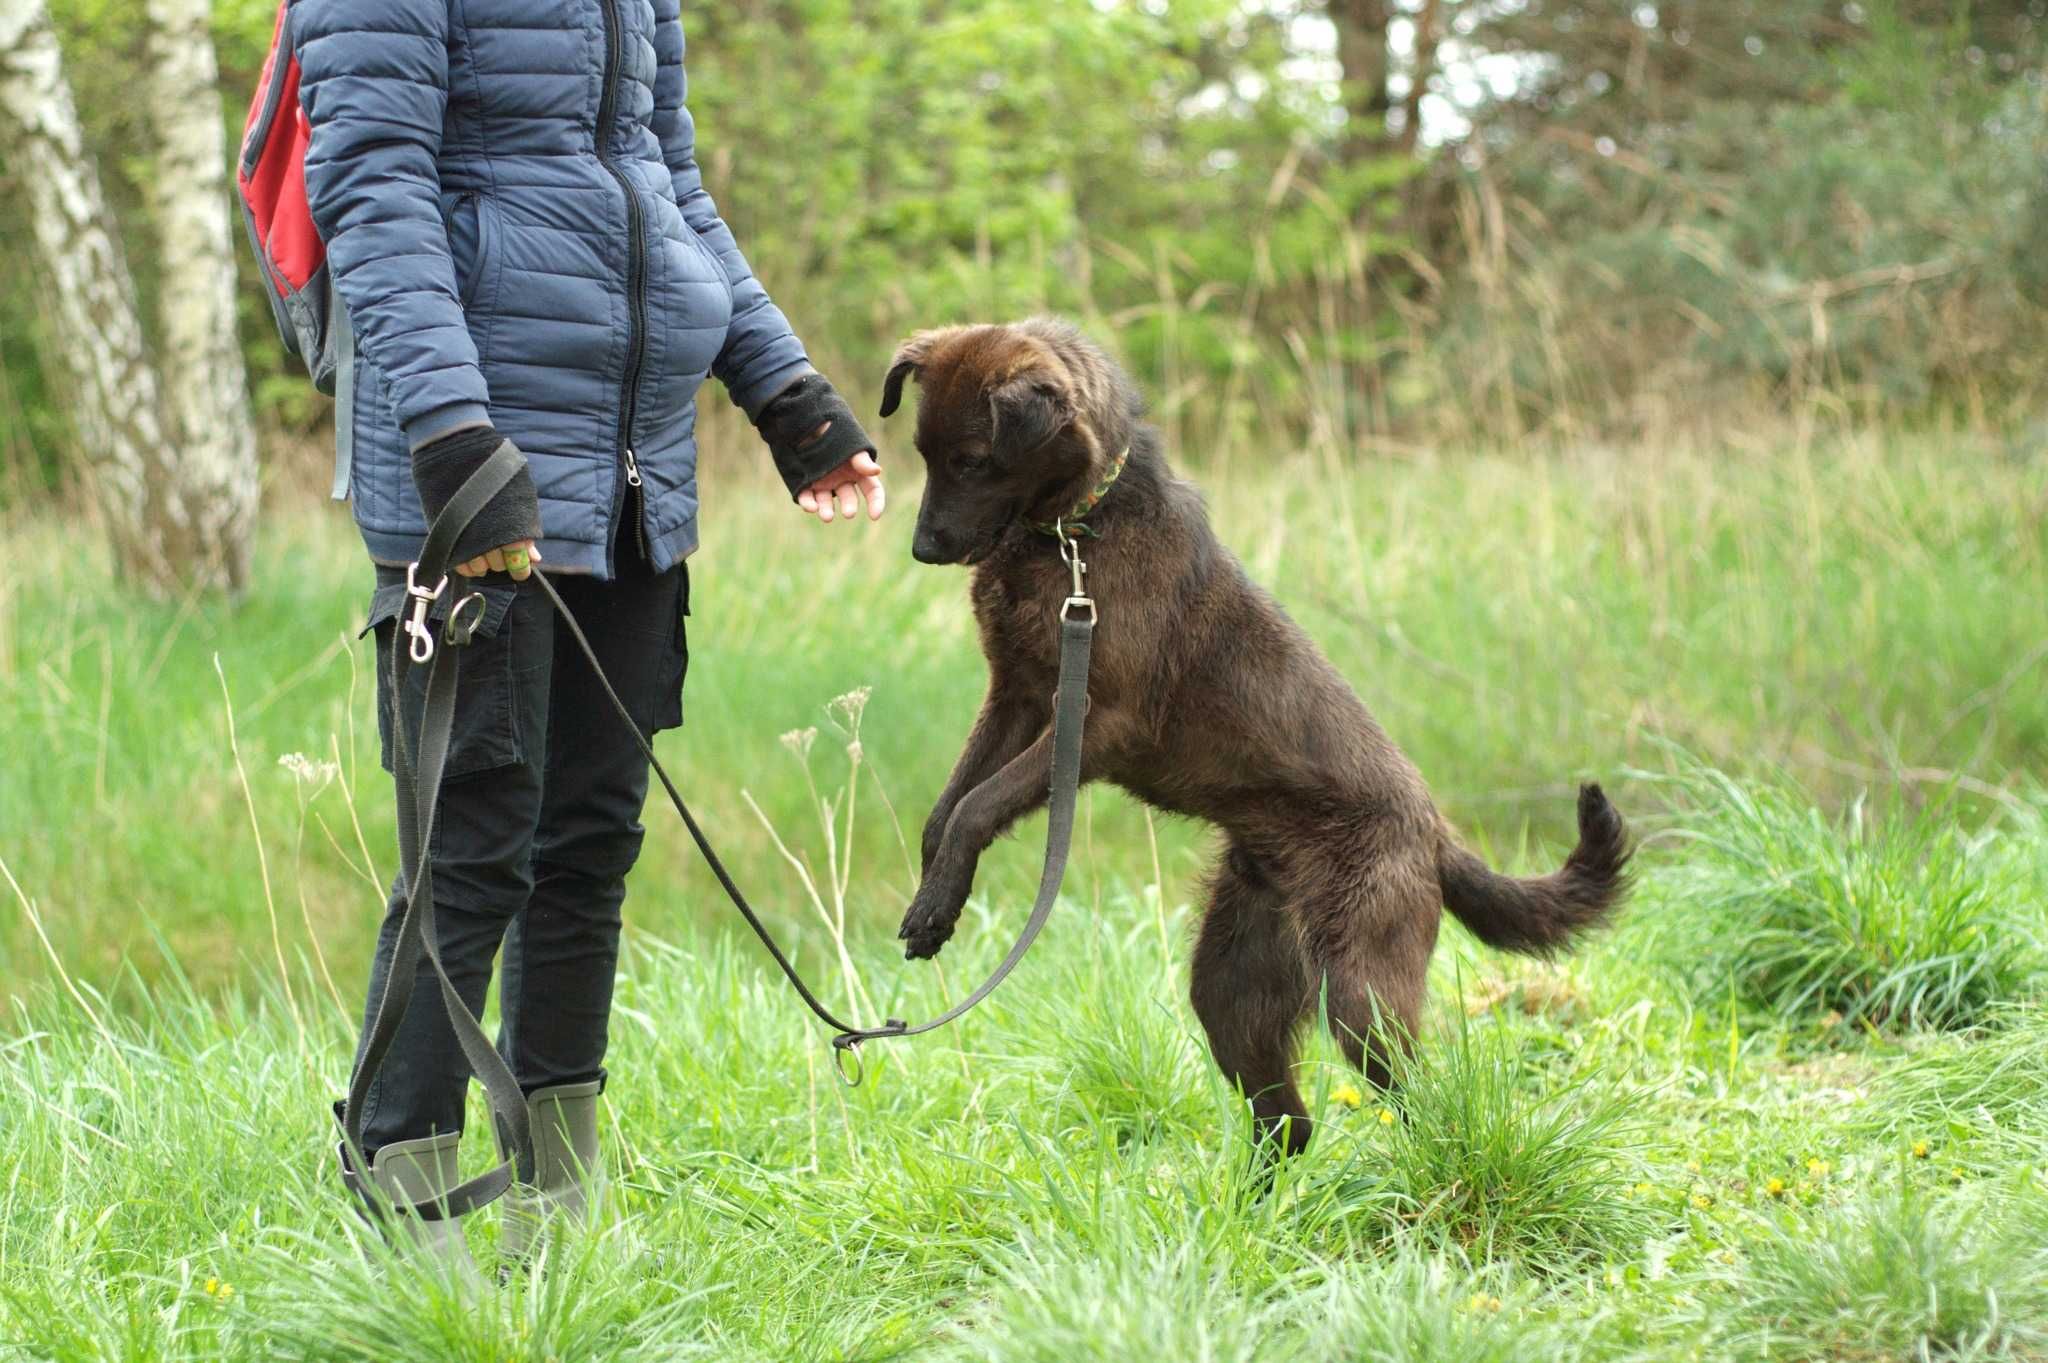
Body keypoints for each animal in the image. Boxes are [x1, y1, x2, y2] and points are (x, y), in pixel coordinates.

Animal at [880, 321, 1630, 1154]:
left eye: (974, 460)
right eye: (923, 453)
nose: (922, 548)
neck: (1076, 534)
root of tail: (1436, 835)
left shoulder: (1097, 724)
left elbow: (980, 804)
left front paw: (938, 898)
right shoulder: (1014, 694)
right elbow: (951, 804)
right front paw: (937, 891)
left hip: (1361, 996)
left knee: (1419, 1099)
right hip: (1231, 987)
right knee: (1290, 1123)